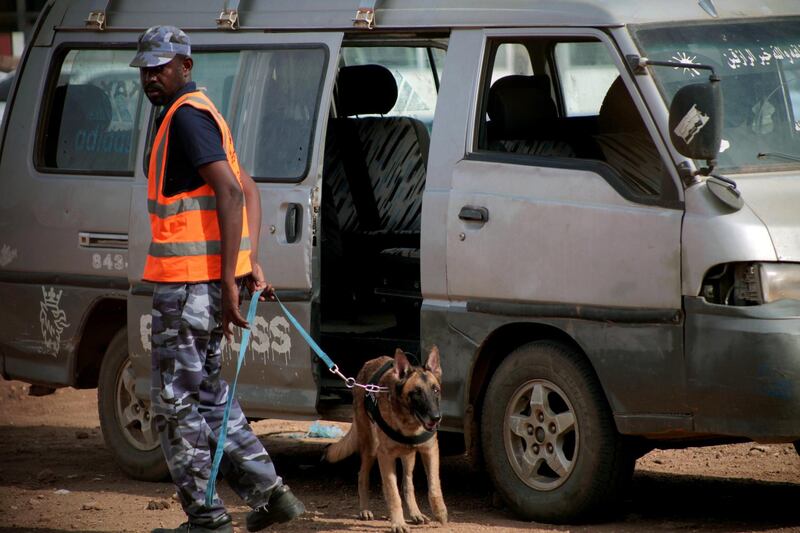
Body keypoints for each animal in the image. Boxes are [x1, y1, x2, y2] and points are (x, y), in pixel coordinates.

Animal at [324, 348, 450, 528]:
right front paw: (398, 523)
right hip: (371, 448)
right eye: (416, 393)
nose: (436, 418)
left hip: (408, 457)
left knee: (407, 484)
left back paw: (415, 513)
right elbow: (393, 493)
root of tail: (369, 363)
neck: (408, 424)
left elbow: (434, 485)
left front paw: (440, 511)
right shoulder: (385, 456)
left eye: (435, 390)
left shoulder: (430, 451)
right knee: (363, 476)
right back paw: (365, 510)